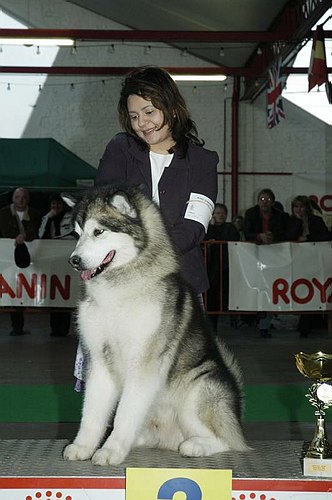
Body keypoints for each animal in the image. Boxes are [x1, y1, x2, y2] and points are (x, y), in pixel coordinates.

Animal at [63, 186, 249, 466]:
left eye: (99, 231)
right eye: (77, 234)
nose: (74, 260)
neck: (118, 290)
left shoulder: (143, 362)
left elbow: (124, 413)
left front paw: (111, 450)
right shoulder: (98, 359)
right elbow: (92, 413)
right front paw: (83, 446)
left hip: (197, 389)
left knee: (227, 441)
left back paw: (195, 446)